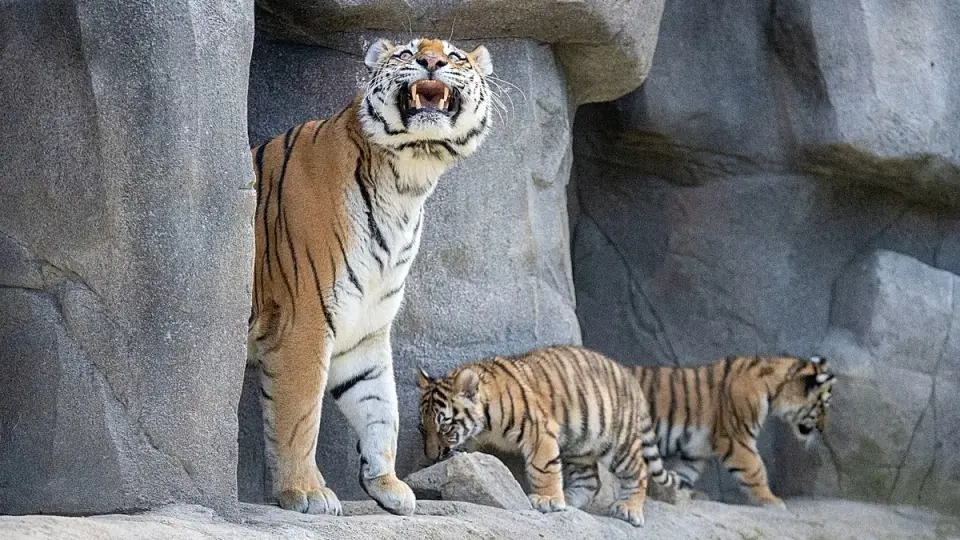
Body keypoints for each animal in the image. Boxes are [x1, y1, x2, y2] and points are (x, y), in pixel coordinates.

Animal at [247, 37, 494, 516]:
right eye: (407, 52)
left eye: (455, 56)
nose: (431, 60)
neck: (406, 183)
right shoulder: (304, 320)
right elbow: (299, 413)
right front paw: (305, 491)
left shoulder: (365, 328)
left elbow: (381, 406)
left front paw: (387, 484)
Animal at [417, 345, 679, 527]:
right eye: (423, 429)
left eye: (444, 428)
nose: (432, 455)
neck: (486, 423)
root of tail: (630, 377)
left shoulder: (539, 430)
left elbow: (543, 468)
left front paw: (547, 500)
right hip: (579, 445)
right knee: (590, 481)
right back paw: (570, 499)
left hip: (618, 444)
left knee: (639, 470)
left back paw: (628, 509)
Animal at [632, 354, 835, 508]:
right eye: (823, 407)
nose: (823, 430)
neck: (774, 391)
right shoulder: (737, 439)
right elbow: (756, 469)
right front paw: (772, 500)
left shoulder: (696, 450)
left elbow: (684, 473)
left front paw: (680, 492)